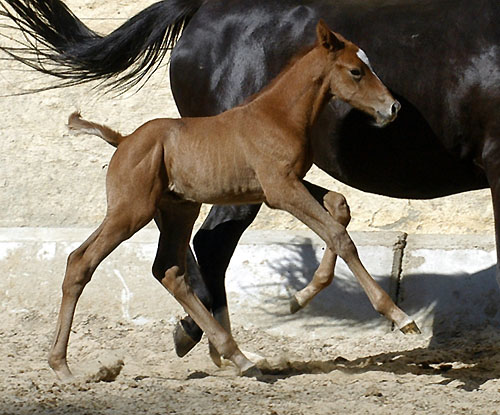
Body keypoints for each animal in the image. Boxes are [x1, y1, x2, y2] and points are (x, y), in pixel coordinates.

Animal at [50, 21, 418, 382]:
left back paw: (238, 356)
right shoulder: (281, 190)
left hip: (179, 210)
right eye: (356, 71)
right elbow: (339, 236)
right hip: (131, 211)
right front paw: (400, 317)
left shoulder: (285, 184)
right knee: (81, 261)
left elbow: (340, 207)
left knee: (169, 272)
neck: (279, 115)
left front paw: (299, 298)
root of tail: (123, 140)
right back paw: (62, 366)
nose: (393, 108)